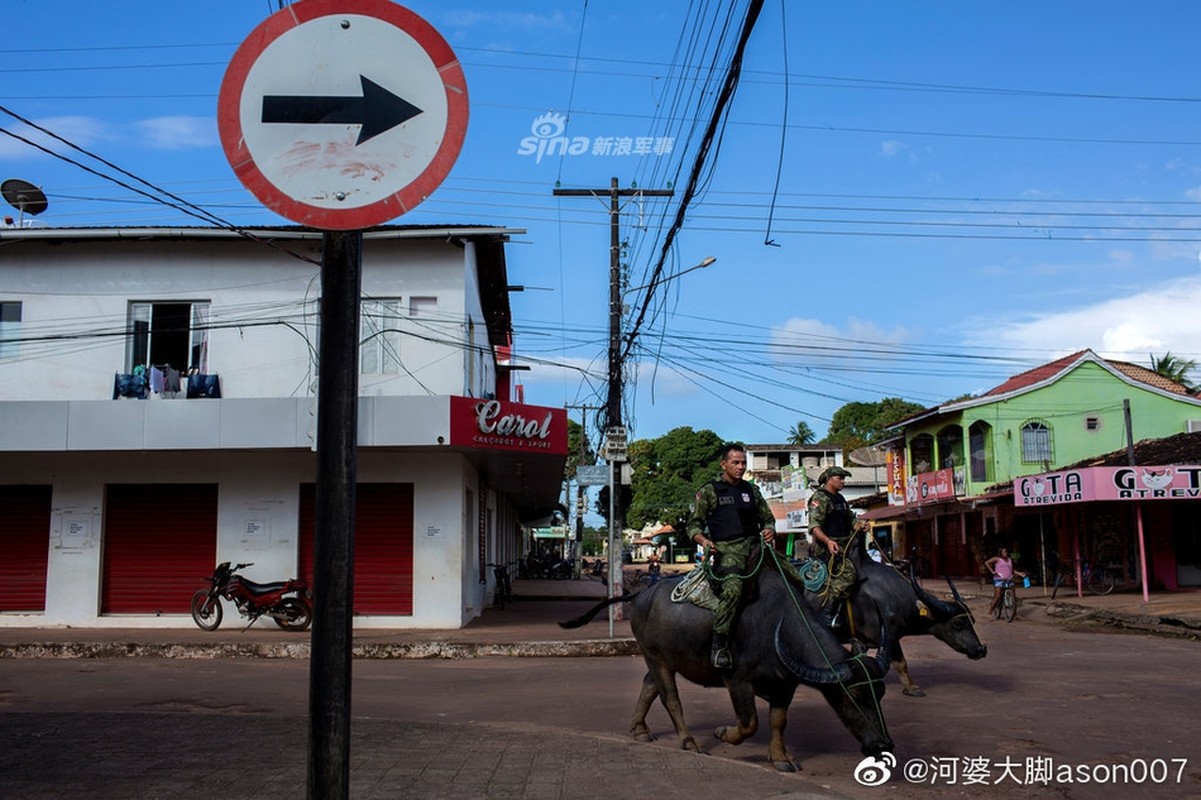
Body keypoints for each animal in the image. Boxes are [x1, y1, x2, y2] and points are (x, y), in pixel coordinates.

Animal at [559, 564, 893, 768]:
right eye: (856, 696)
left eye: (880, 693)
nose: (882, 744)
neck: (775, 626)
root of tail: (640, 594)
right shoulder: (737, 680)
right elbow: (748, 722)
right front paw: (722, 734)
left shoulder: (785, 685)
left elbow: (778, 721)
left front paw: (780, 757)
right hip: (654, 656)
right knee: (669, 697)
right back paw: (688, 740)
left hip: (662, 658)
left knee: (649, 686)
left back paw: (639, 729)